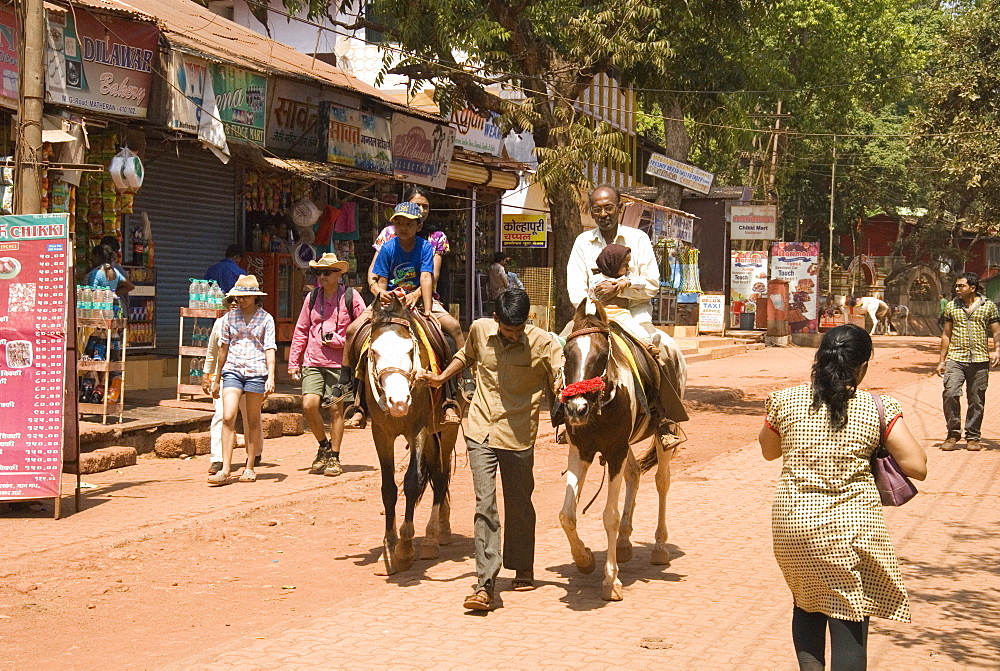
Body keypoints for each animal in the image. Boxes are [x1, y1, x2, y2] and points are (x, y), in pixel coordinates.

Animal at [366, 296, 458, 576]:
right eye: (374, 352)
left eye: (409, 350)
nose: (398, 402)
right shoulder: (381, 433)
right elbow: (388, 488)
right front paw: (388, 548)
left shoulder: (418, 430)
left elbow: (412, 482)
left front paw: (405, 549)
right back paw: (442, 527)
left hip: (445, 431)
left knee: (441, 476)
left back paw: (432, 538)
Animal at [556, 302, 688, 600]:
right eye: (567, 354)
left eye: (602, 354)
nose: (576, 408)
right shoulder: (580, 451)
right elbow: (567, 514)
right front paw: (584, 559)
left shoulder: (615, 451)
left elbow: (610, 516)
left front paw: (611, 581)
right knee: (634, 474)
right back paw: (625, 543)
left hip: (663, 430)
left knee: (662, 481)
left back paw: (659, 548)